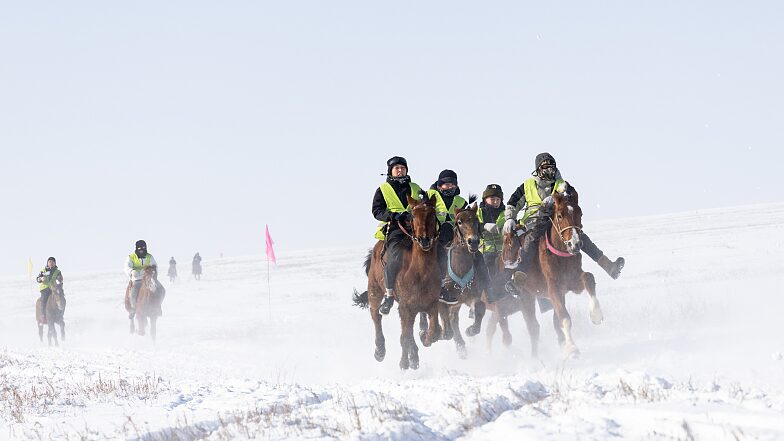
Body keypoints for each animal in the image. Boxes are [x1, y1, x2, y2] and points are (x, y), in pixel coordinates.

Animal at [353, 194, 442, 370]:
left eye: (432, 215)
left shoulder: (431, 304)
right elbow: (405, 337)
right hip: (375, 291)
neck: (420, 273)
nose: (424, 240)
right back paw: (380, 351)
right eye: (413, 215)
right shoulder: (406, 307)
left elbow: (434, 331)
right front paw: (407, 361)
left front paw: (424, 338)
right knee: (376, 316)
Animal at [419, 203, 486, 359]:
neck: (460, 268)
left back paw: (461, 345)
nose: (473, 241)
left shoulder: (471, 296)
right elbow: (446, 332)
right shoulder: (442, 302)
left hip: (456, 305)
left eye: (475, 220)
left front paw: (471, 330)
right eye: (459, 222)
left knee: (454, 321)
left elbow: (480, 308)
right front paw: (428, 336)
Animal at [503, 182, 604, 359]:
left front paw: (596, 314)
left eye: (580, 213)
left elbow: (588, 278)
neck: (560, 255)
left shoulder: (570, 283)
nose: (575, 244)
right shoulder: (553, 288)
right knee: (533, 327)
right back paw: (535, 357)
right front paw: (572, 349)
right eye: (560, 215)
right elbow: (564, 319)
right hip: (525, 296)